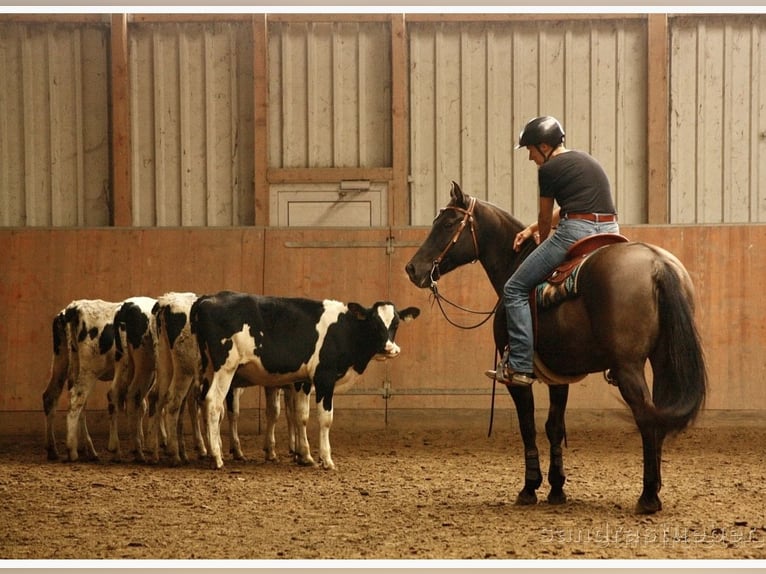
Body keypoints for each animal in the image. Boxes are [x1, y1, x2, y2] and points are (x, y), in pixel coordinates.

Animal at [404, 181, 707, 514]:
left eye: (447, 223)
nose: (412, 268)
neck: (514, 264)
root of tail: (656, 263)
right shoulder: (559, 374)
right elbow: (554, 426)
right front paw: (557, 488)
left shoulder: (517, 377)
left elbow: (527, 426)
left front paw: (529, 488)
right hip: (664, 360)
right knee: (660, 415)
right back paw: (655, 489)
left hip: (629, 367)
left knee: (646, 416)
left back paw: (648, 496)